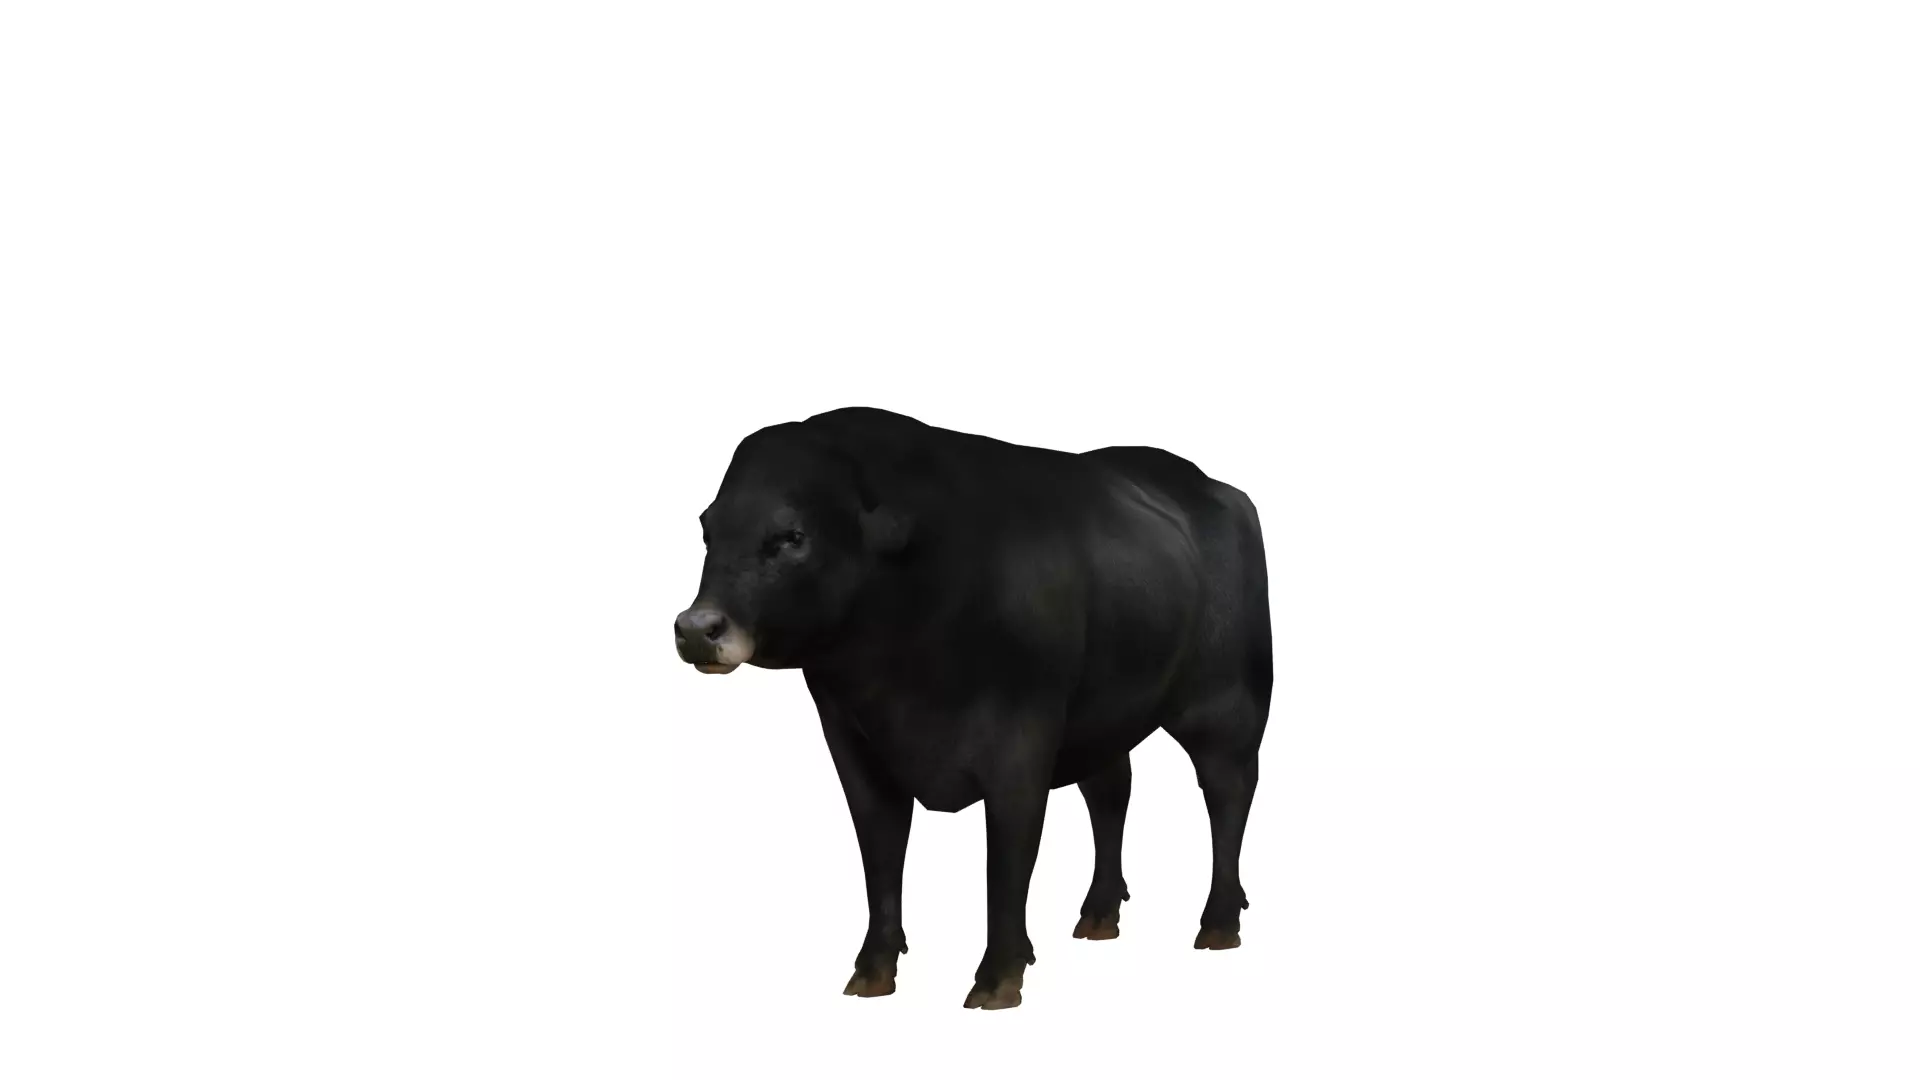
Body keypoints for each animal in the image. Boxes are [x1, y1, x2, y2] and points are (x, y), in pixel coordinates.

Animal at [672, 406, 1271, 1009]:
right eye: (707, 531)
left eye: (792, 536)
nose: (696, 629)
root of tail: (1214, 488)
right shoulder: (854, 746)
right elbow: (881, 855)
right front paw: (872, 972)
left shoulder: (1021, 750)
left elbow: (1006, 862)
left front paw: (998, 976)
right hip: (1103, 720)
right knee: (1110, 793)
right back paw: (1099, 914)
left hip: (1228, 708)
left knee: (1228, 795)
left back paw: (1219, 923)